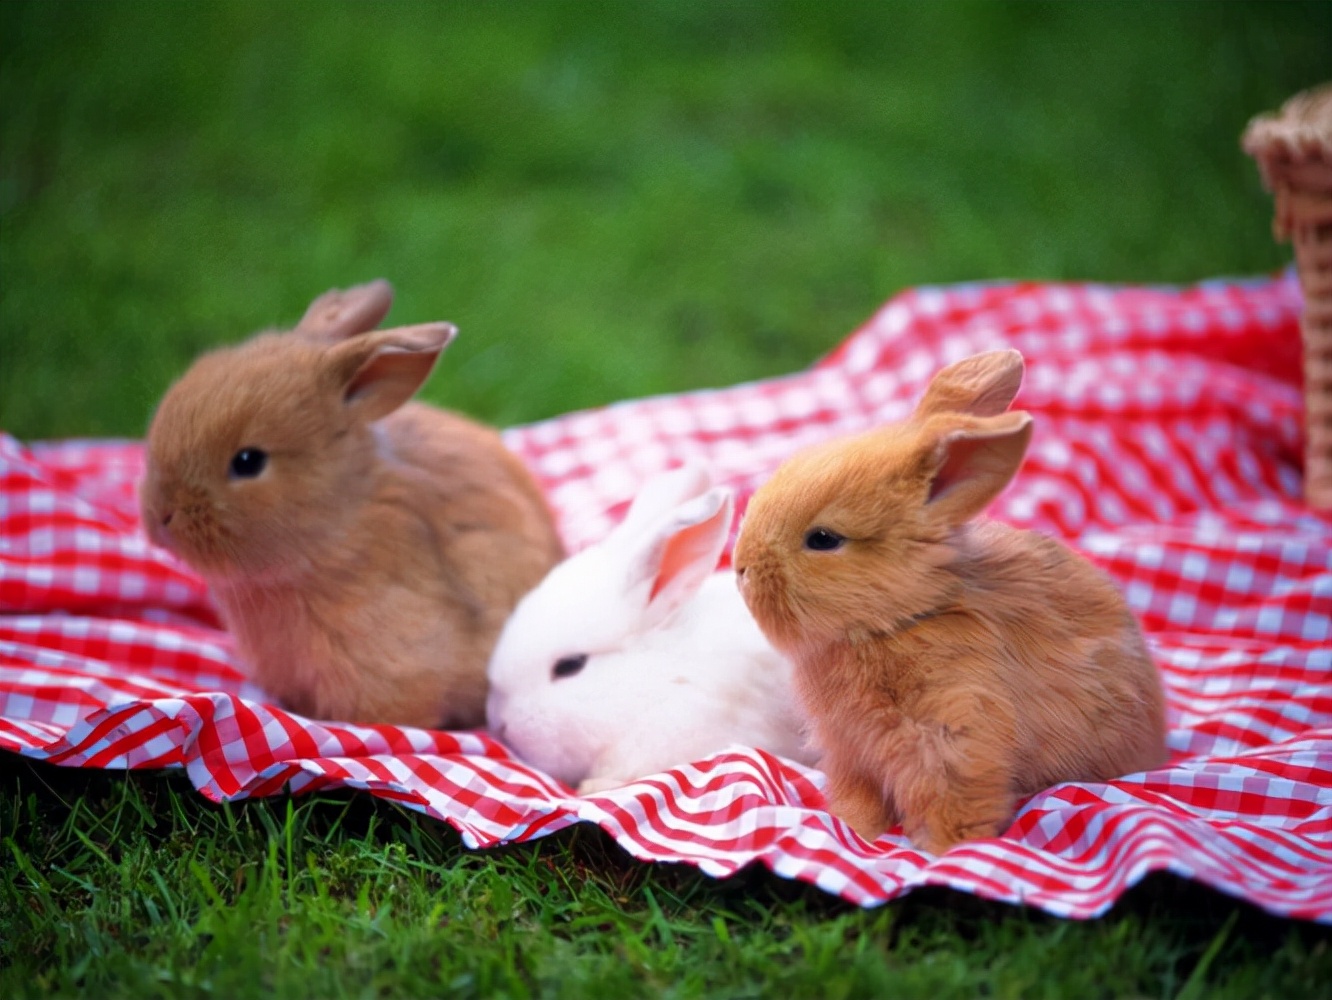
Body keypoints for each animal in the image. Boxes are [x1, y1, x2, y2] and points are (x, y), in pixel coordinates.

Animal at [729, 348, 1166, 852]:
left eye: (823, 539)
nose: (741, 567)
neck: (902, 620)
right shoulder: (851, 754)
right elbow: (860, 799)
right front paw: (854, 828)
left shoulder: (956, 735)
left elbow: (954, 800)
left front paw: (945, 850)